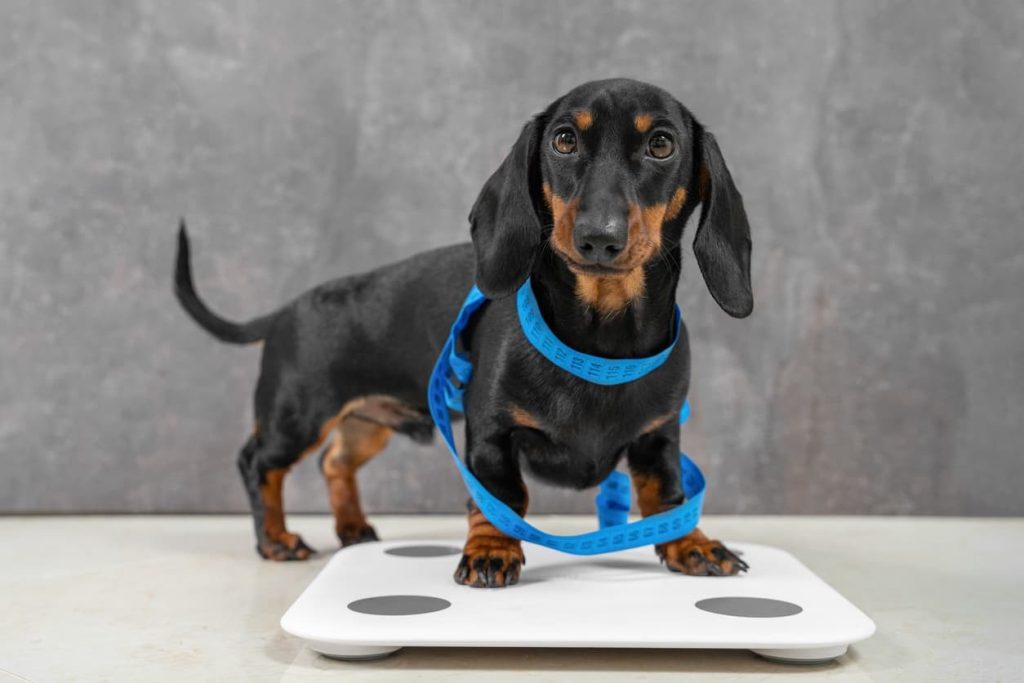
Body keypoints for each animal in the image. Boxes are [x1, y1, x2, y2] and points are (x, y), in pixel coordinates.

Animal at [174, 77, 753, 585]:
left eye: (662, 144)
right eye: (564, 139)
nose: (599, 238)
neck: (601, 344)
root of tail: (285, 310)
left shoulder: (659, 437)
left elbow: (666, 497)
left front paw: (692, 544)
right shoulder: (491, 435)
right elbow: (502, 499)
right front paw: (492, 552)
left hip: (367, 422)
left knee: (335, 461)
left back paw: (352, 528)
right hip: (298, 414)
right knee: (258, 464)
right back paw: (275, 538)